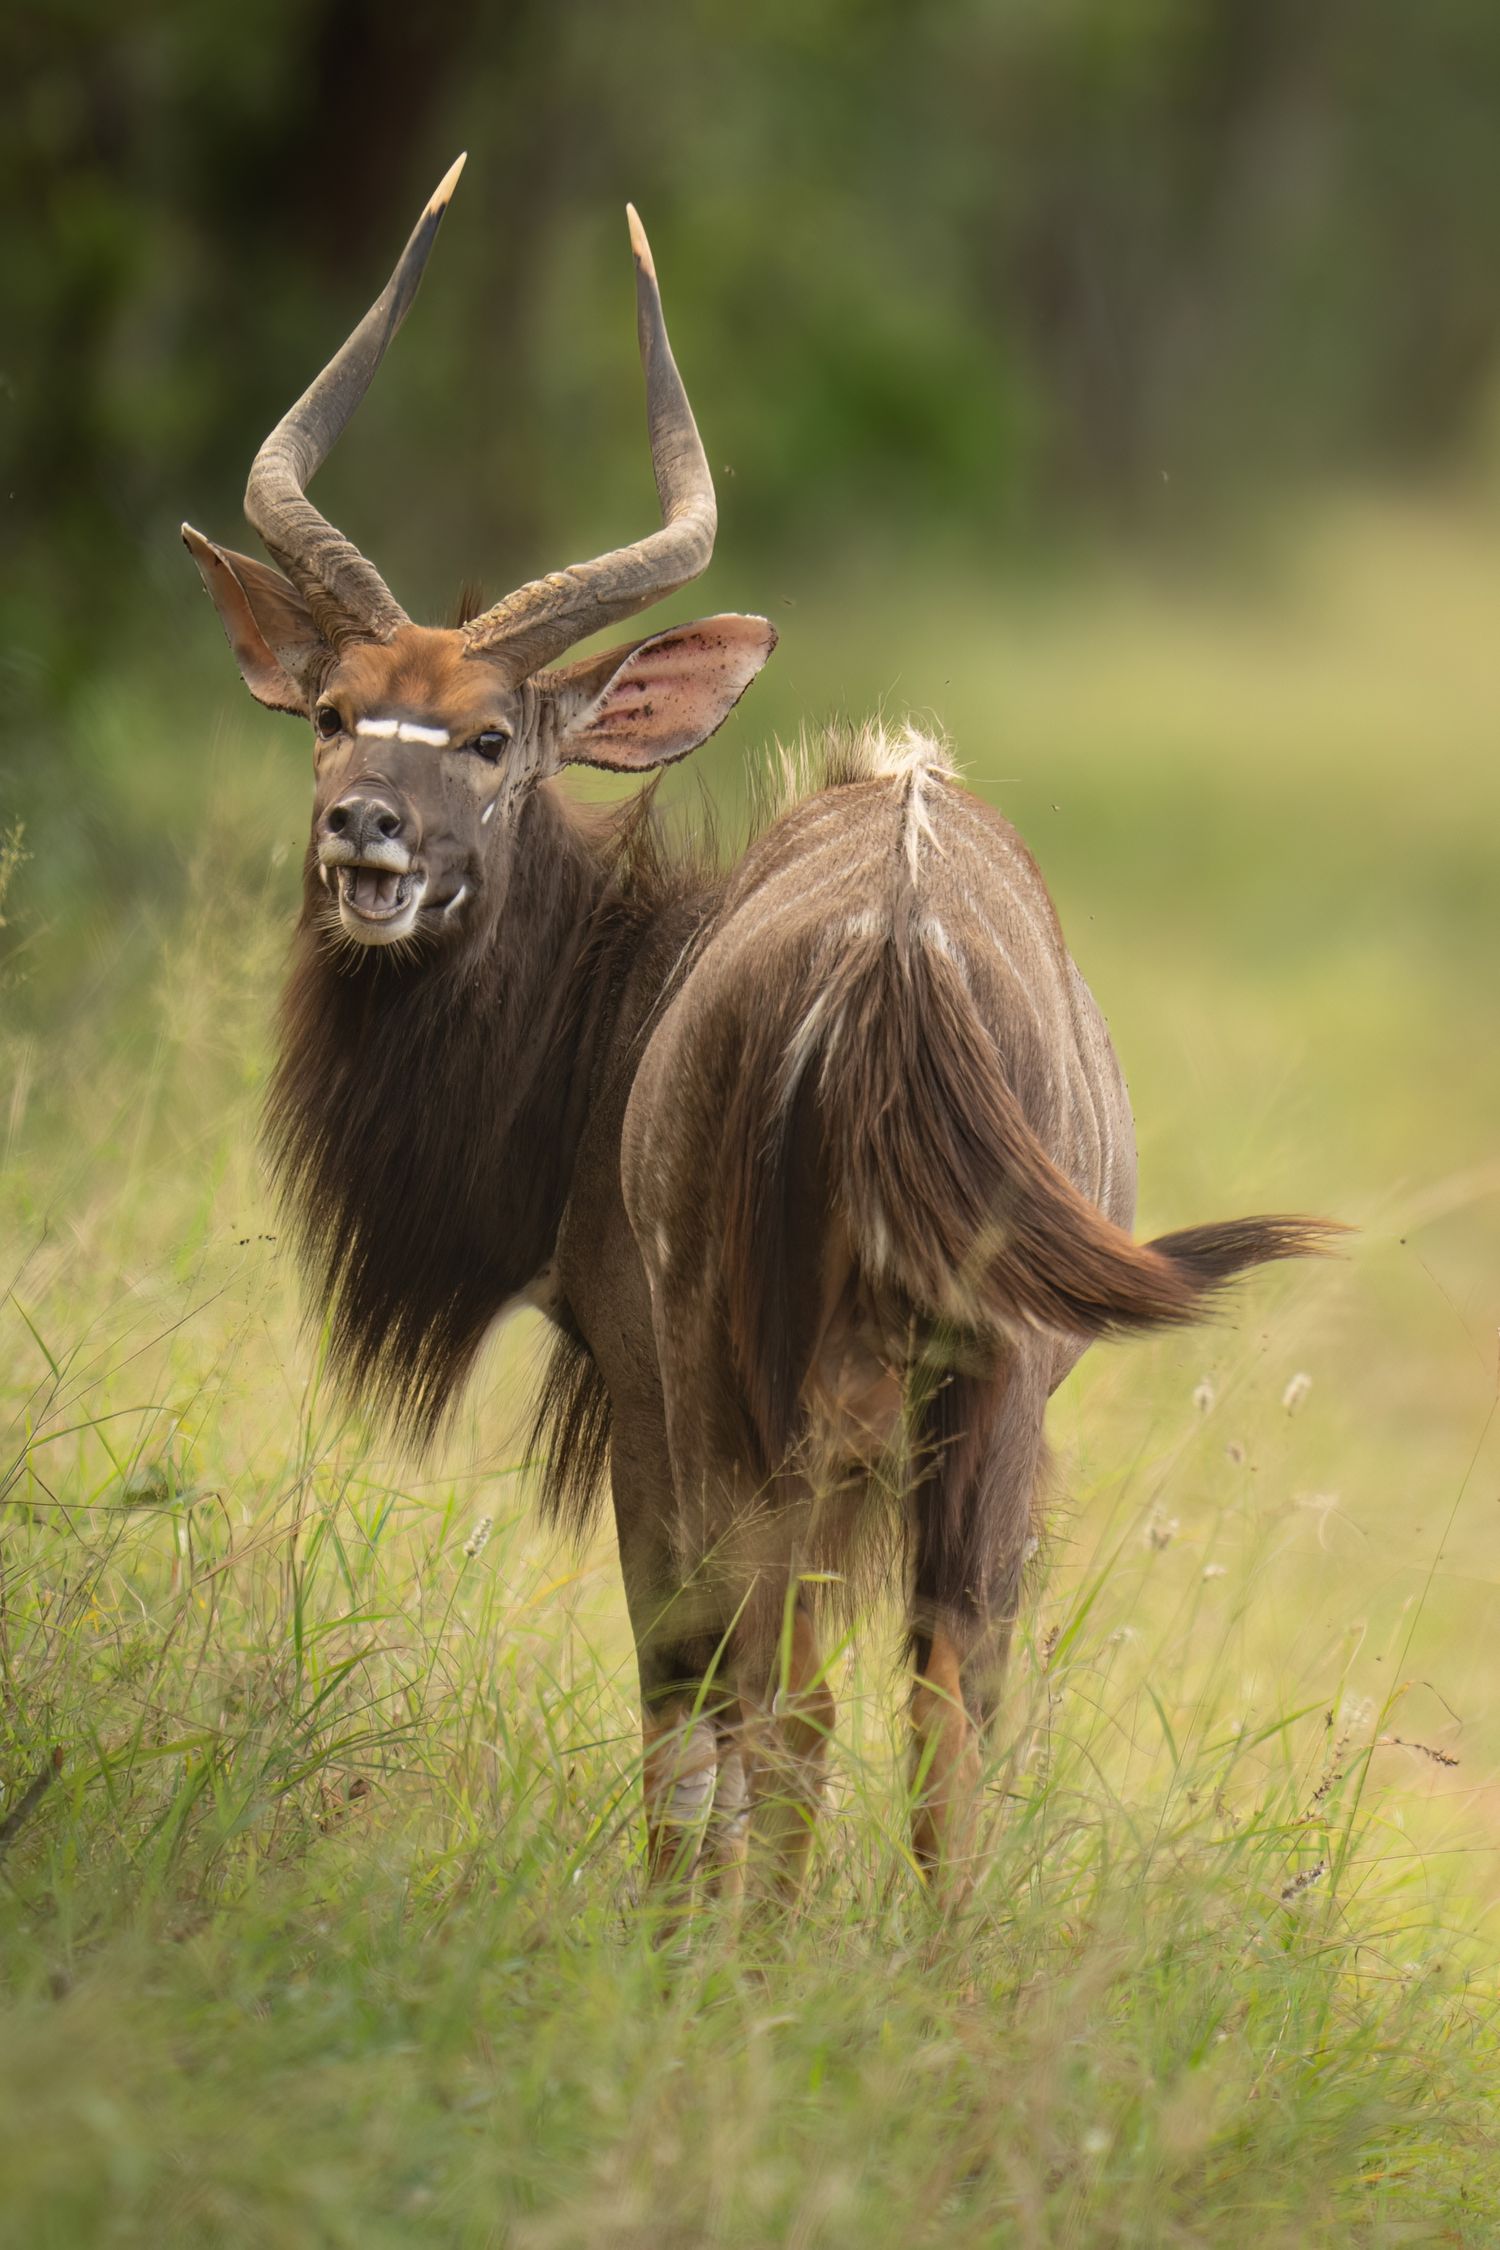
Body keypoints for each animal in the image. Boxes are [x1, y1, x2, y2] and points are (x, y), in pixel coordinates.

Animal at [183, 157, 1336, 1901]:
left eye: (491, 736)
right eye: (330, 711)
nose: (364, 834)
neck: (629, 990)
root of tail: (901, 955)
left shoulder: (647, 1396)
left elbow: (688, 1703)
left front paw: (677, 1941)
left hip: (782, 1399)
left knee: (784, 1701)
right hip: (987, 1408)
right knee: (945, 1703)